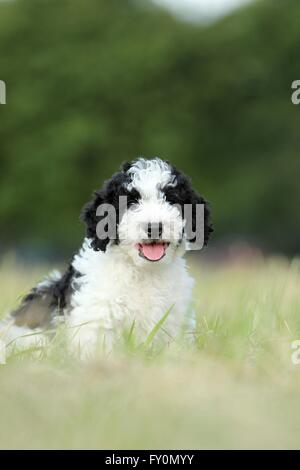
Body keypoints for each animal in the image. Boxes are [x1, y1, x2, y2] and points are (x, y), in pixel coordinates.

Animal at [0, 158, 211, 356]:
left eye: (171, 199)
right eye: (131, 202)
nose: (154, 227)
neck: (142, 270)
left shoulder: (175, 321)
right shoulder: (96, 318)